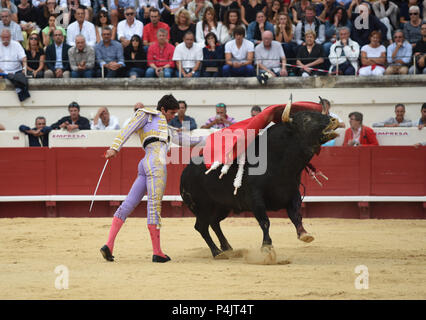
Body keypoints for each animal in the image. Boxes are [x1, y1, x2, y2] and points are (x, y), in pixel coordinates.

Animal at [180, 100, 340, 258]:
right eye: (306, 119)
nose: (334, 120)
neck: (279, 162)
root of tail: (184, 173)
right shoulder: (255, 198)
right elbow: (265, 222)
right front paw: (267, 247)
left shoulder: (293, 193)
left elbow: (296, 215)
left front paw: (304, 234)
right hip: (202, 207)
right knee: (201, 227)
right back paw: (216, 252)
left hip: (222, 206)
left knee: (214, 222)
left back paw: (227, 247)